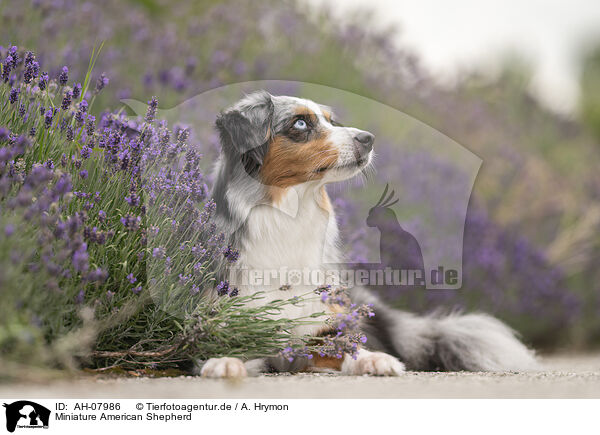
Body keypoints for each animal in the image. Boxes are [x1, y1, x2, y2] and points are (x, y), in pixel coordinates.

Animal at [199, 91, 536, 378]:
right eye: (300, 123)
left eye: (330, 120)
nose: (368, 138)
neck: (288, 222)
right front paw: (222, 361)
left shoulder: (325, 326)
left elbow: (348, 345)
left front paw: (373, 359)